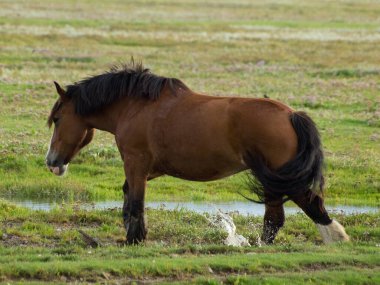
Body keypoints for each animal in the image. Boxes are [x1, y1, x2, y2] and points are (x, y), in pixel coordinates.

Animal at [46, 61, 348, 244]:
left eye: (58, 119)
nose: (51, 162)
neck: (135, 106)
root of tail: (291, 115)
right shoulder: (152, 168)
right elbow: (129, 196)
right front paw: (136, 234)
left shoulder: (135, 162)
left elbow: (135, 201)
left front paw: (134, 239)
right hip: (274, 181)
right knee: (277, 218)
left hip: (278, 178)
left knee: (303, 209)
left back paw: (336, 238)